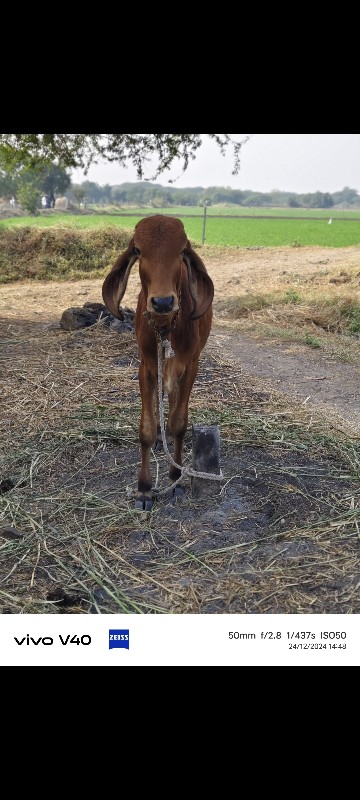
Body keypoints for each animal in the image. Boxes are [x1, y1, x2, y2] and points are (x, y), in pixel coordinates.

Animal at [102, 216, 214, 510]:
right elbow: (147, 428)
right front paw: (143, 488)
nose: (163, 302)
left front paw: (175, 477)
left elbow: (178, 423)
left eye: (182, 251)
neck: (165, 327)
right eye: (139, 250)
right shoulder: (146, 368)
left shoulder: (191, 367)